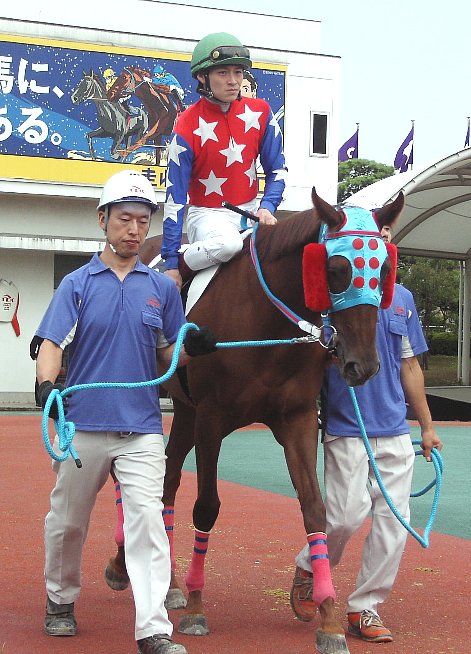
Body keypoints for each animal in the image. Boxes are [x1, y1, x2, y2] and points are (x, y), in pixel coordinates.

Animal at [106, 189, 404, 654]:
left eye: (385, 271)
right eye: (336, 270)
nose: (364, 365)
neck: (265, 321)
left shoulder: (297, 418)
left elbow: (315, 508)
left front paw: (329, 619)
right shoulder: (212, 418)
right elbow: (207, 507)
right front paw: (197, 606)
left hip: (185, 410)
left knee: (167, 481)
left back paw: (167, 584)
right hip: (149, 397)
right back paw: (125, 567)